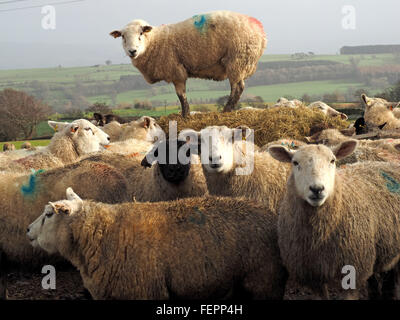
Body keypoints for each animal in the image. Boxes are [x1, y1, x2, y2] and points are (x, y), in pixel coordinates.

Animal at [109, 10, 268, 117]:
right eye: (122, 36)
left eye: (141, 33)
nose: (132, 51)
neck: (154, 42)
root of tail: (260, 30)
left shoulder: (176, 71)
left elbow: (181, 96)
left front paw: (185, 115)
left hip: (237, 60)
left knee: (237, 88)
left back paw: (226, 110)